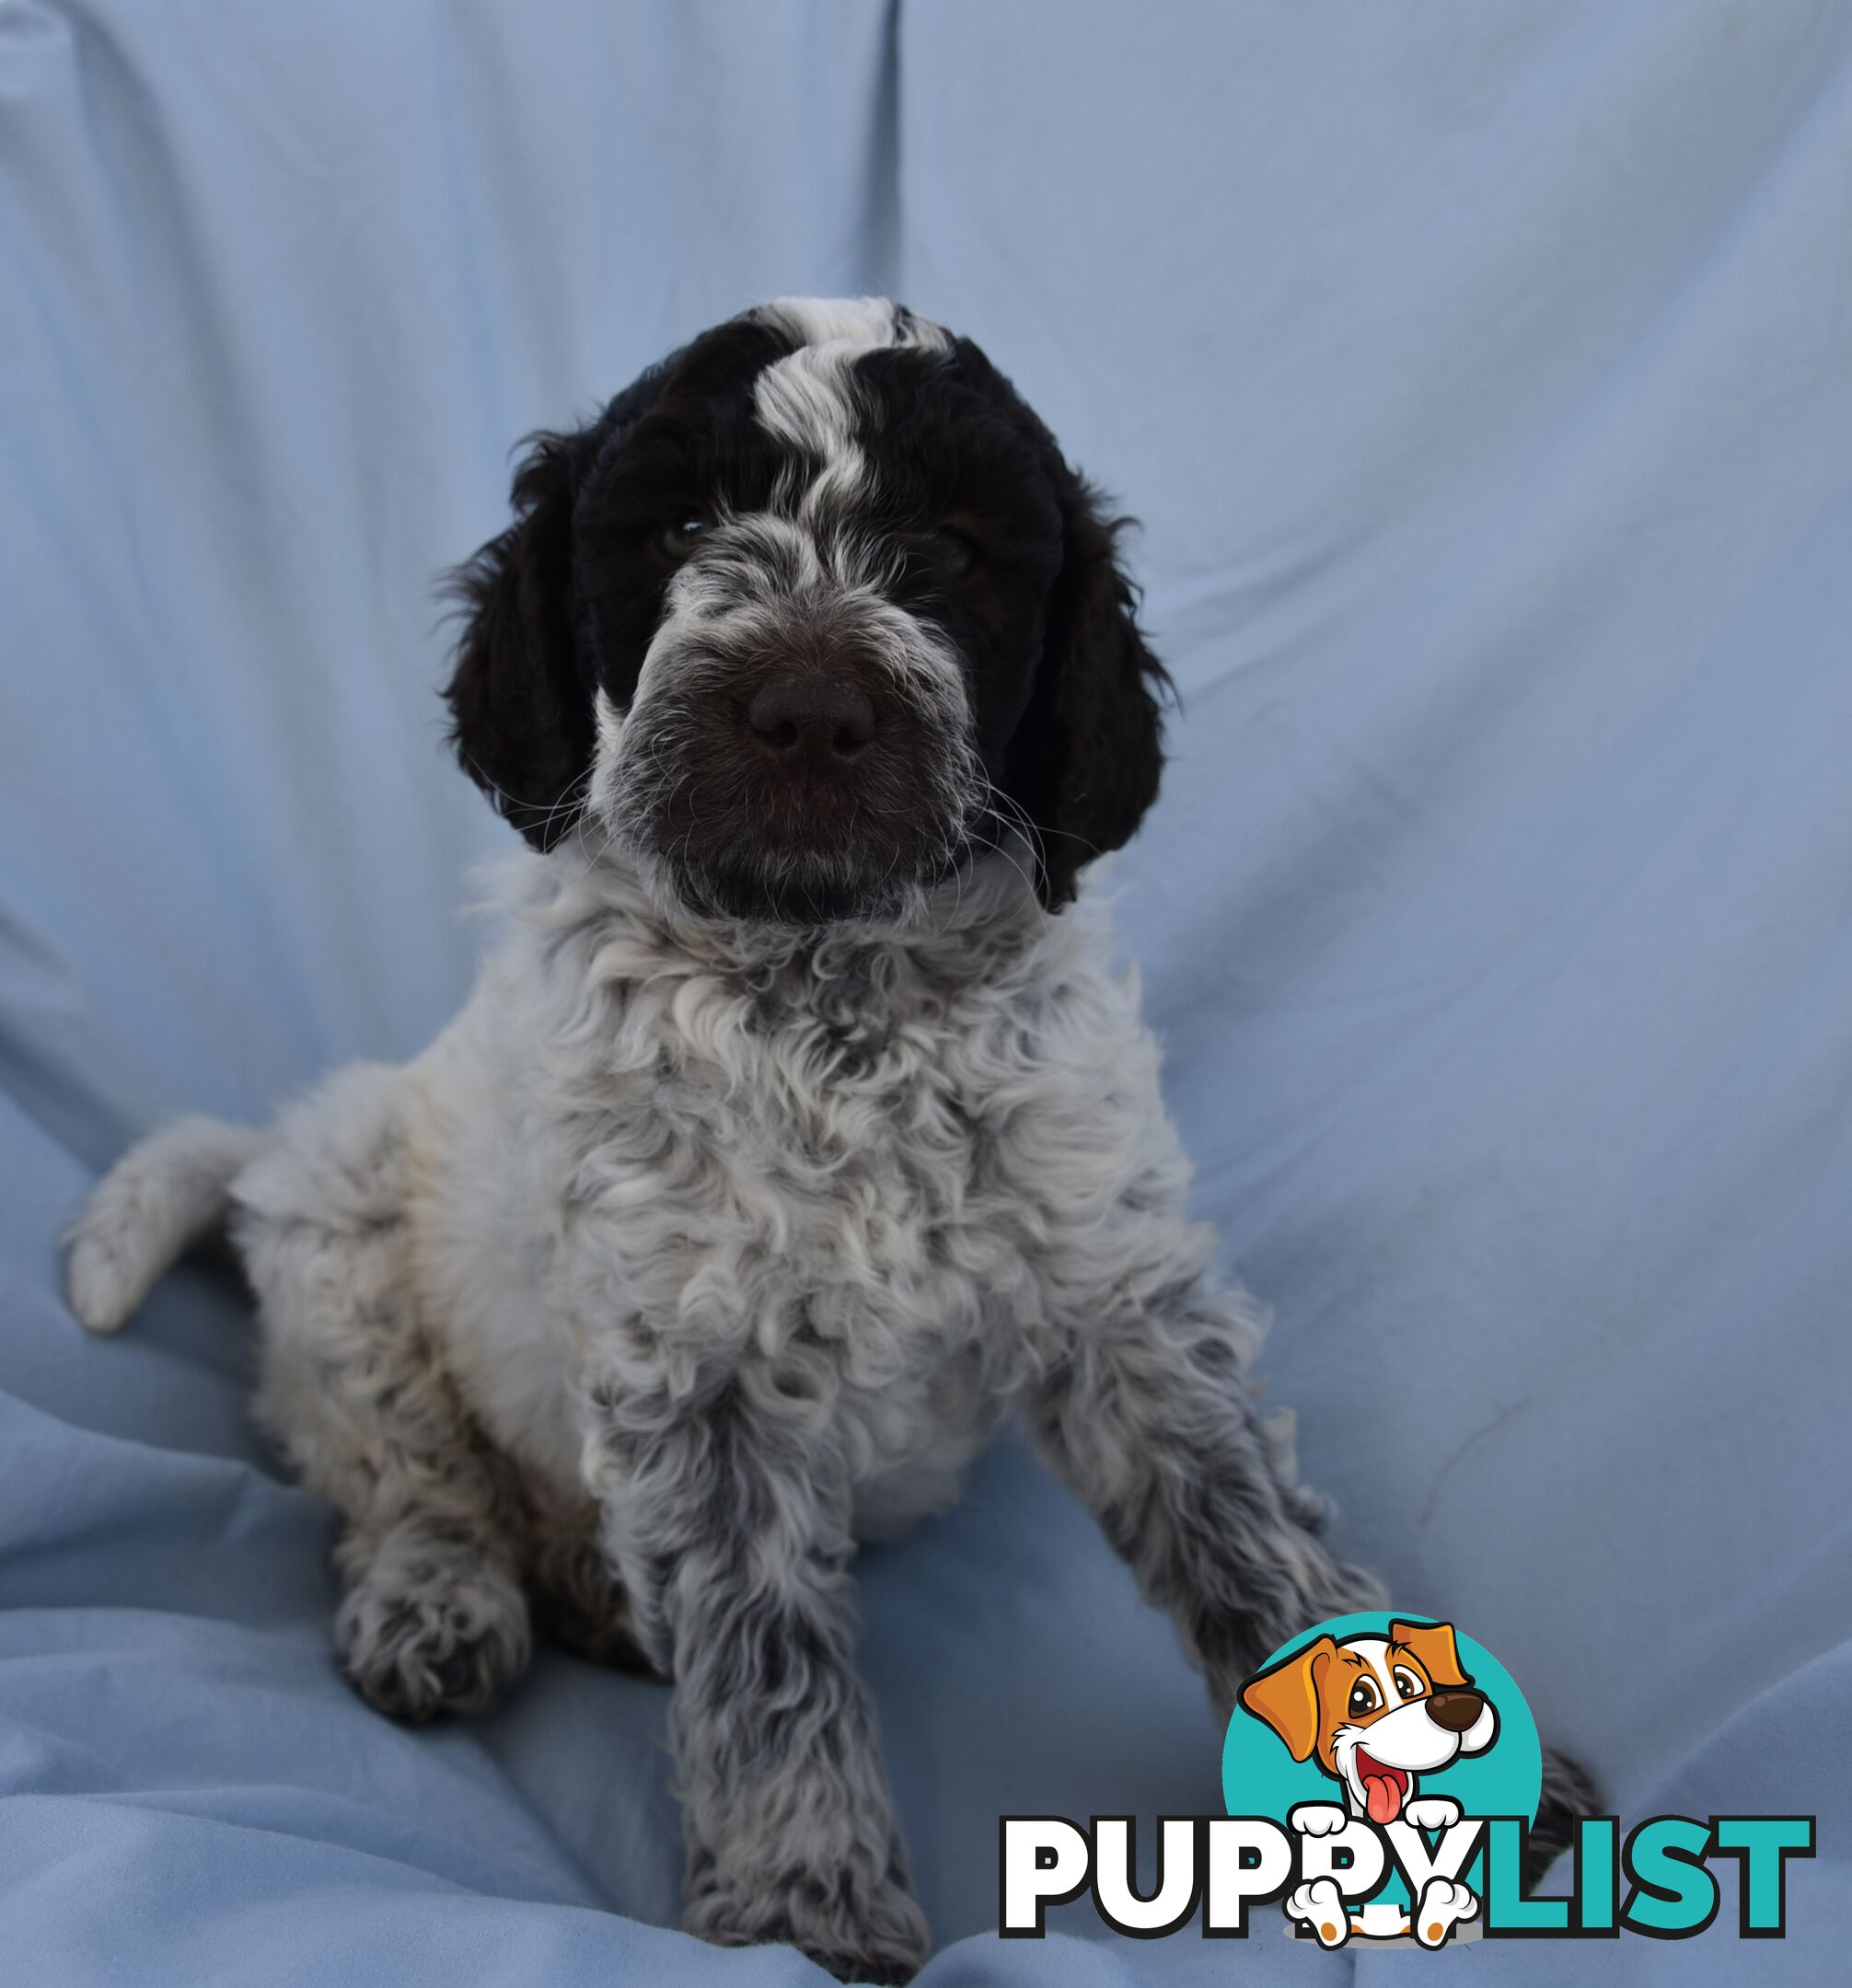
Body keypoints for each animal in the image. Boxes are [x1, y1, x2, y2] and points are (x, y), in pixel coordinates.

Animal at [64, 298, 1583, 1988]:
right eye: (677, 528)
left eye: (952, 552)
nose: (807, 712)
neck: (833, 998)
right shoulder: (700, 1375)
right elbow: (762, 1662)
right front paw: (803, 1910)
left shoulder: (1115, 1293)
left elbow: (1249, 1535)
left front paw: (1487, 1813)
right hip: (338, 1219)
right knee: (409, 1474)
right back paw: (437, 1603)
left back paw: (587, 1589)